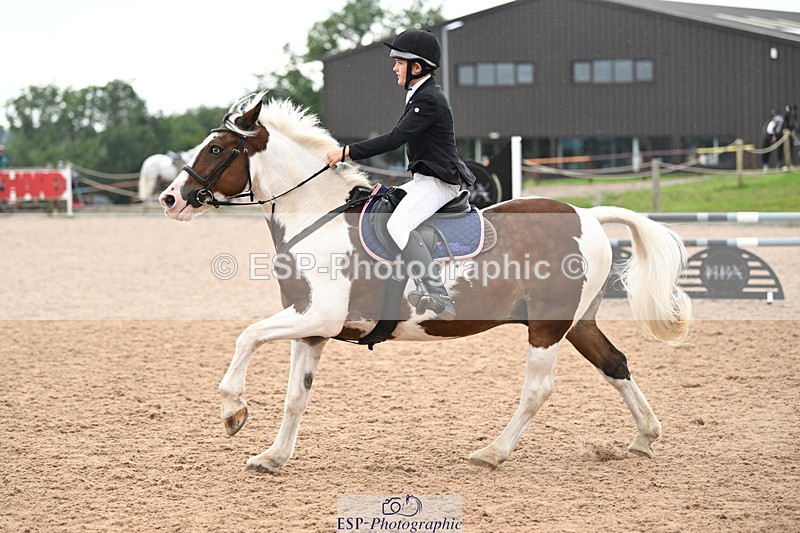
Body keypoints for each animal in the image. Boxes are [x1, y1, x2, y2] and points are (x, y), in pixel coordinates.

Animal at [158, 93, 692, 473]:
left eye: (217, 149)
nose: (170, 199)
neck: (317, 216)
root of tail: (587, 214)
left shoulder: (318, 316)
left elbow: (246, 336)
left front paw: (233, 412)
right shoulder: (310, 326)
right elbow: (296, 395)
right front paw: (272, 457)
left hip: (547, 325)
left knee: (538, 389)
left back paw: (492, 452)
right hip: (577, 322)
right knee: (615, 364)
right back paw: (645, 437)